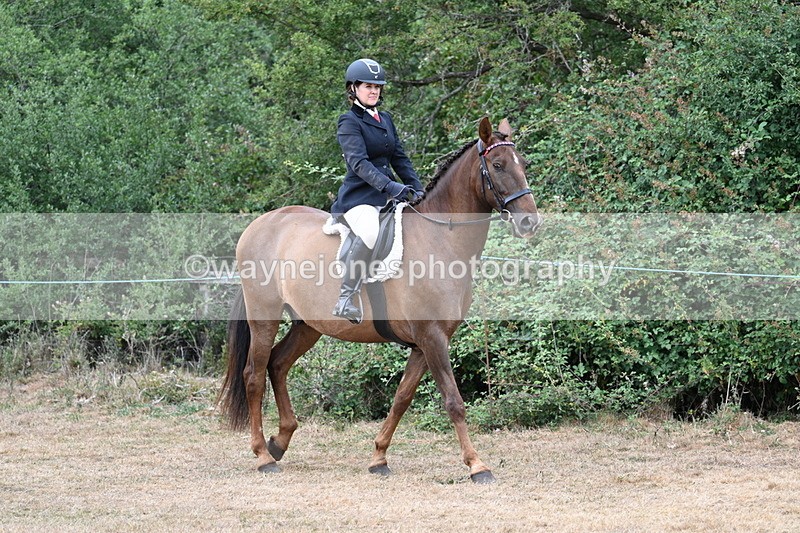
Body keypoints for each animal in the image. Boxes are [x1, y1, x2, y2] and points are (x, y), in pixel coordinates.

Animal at [218, 116, 541, 484]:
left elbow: (402, 398)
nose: (530, 221)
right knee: (254, 375)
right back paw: (262, 456)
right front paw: (477, 465)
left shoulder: (424, 343)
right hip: (264, 316)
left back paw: (279, 442)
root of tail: (260, 224)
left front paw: (379, 458)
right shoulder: (432, 338)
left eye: (523, 164)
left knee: (278, 363)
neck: (440, 239)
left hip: (308, 324)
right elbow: (453, 401)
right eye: (498, 165)